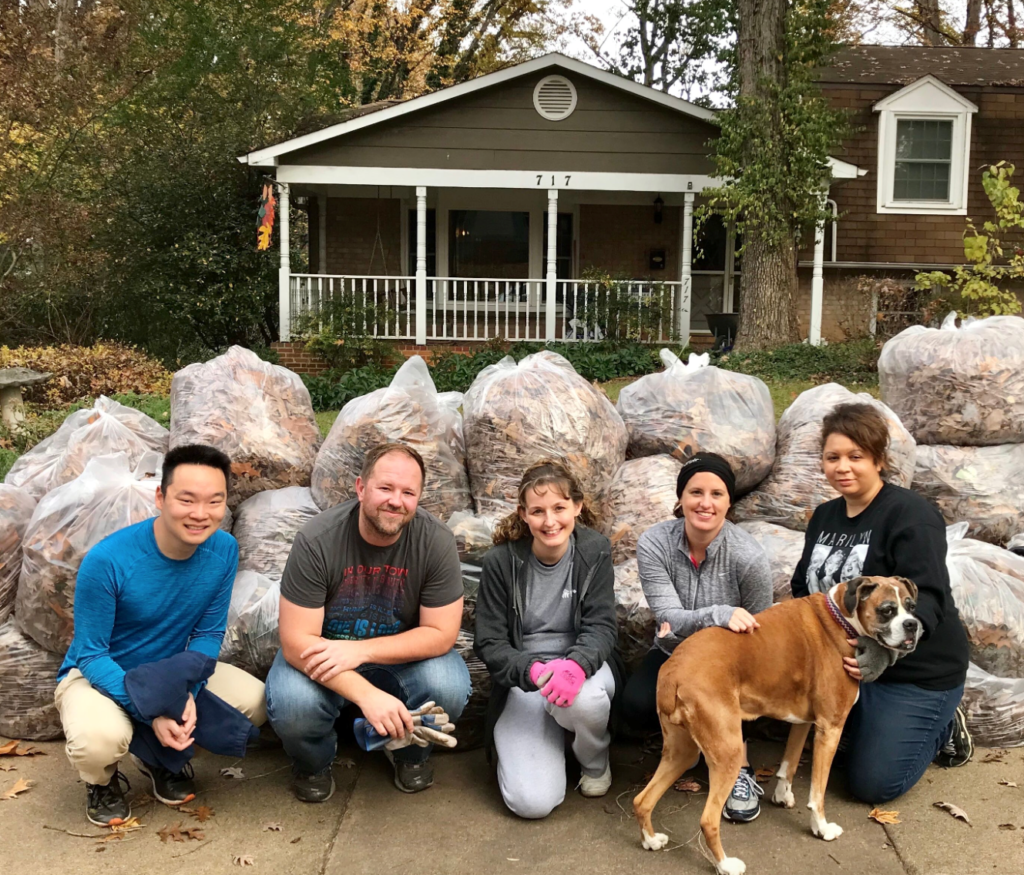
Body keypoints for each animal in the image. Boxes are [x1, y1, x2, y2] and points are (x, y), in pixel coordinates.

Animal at [630, 577, 921, 872]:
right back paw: (726, 865)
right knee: (708, 820)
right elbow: (818, 793)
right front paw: (822, 829)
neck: (842, 618)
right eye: (887, 610)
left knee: (642, 801)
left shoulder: (804, 722)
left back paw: (651, 841)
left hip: (682, 751)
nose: (913, 625)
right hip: (728, 753)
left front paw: (783, 795)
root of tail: (674, 671)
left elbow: (788, 763)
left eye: (911, 606)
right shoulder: (830, 729)